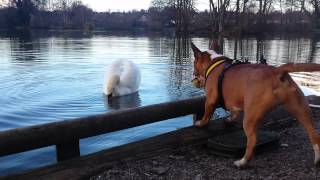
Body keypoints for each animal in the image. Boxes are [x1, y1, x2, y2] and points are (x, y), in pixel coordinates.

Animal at [191, 42, 320, 169]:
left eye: (194, 63)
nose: (193, 75)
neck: (213, 63)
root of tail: (276, 71)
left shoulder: (210, 99)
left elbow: (207, 114)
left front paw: (200, 123)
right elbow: (234, 112)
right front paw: (229, 119)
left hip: (250, 118)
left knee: (252, 141)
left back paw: (242, 162)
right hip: (302, 109)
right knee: (314, 135)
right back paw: (317, 160)